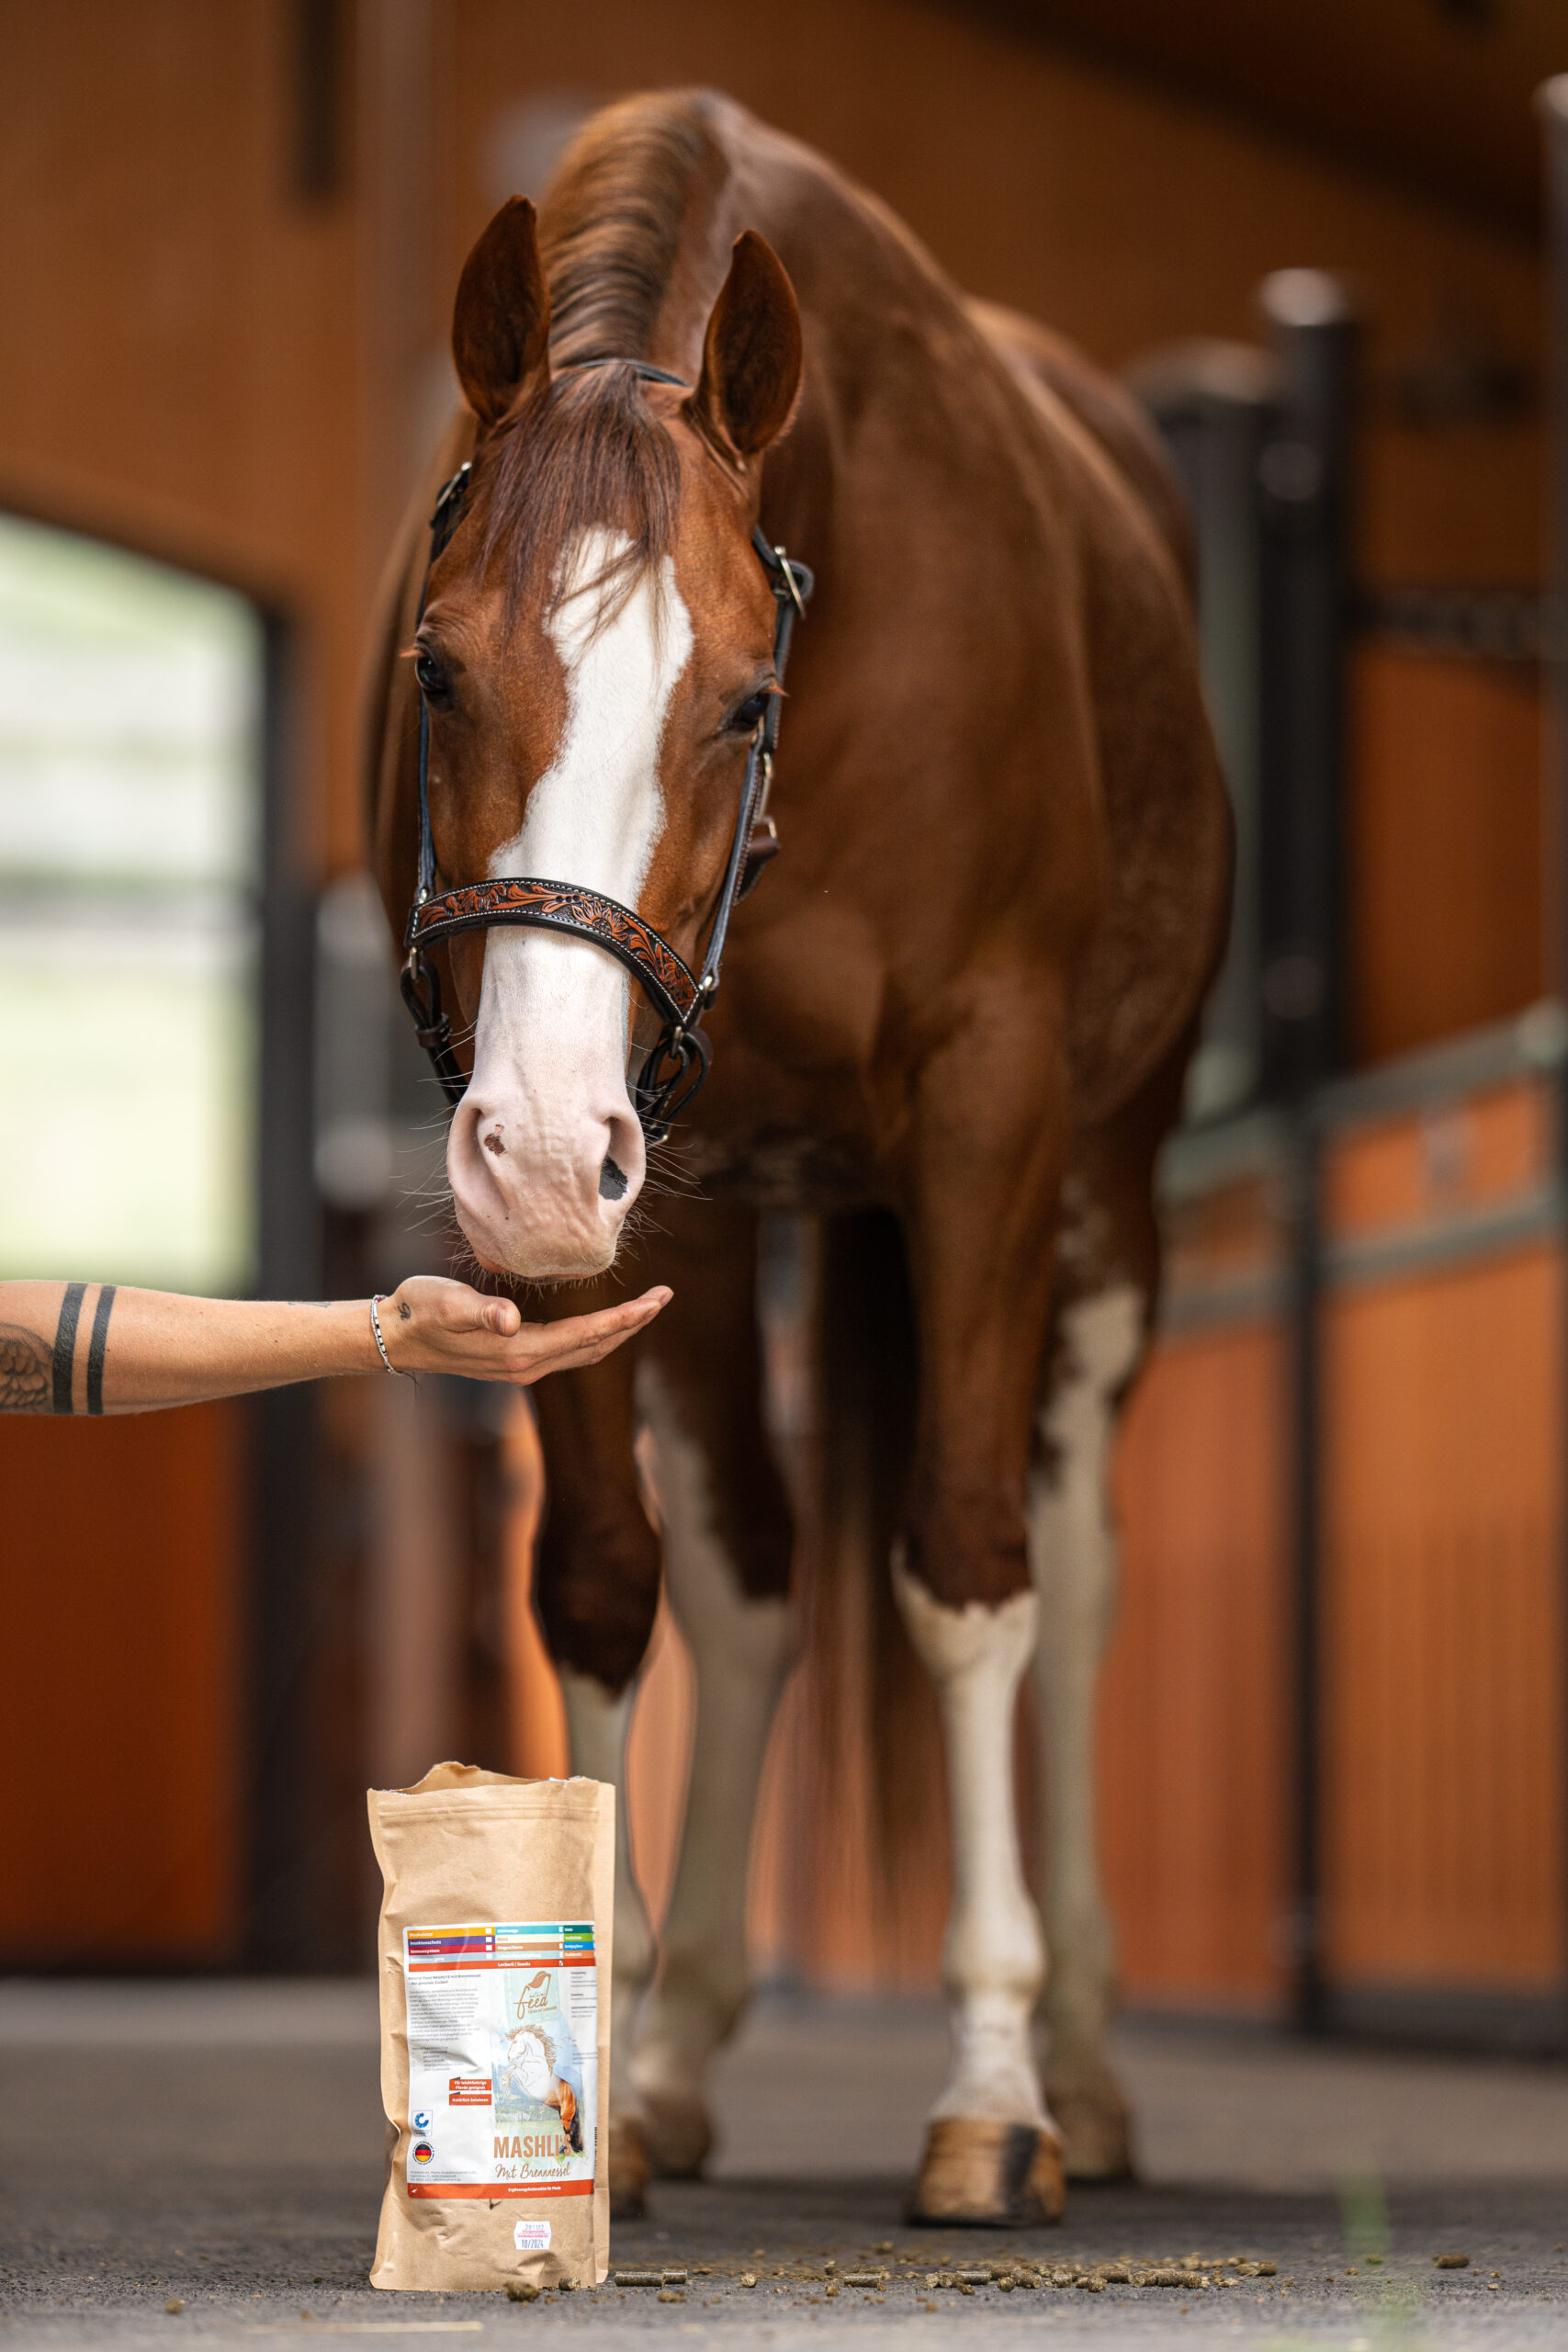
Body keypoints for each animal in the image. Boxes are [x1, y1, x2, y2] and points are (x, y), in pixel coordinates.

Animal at [368, 91, 1222, 2220]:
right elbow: (607, 1585)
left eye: (743, 694)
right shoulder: (571, 1160)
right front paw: (594, 2068)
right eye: (435, 669)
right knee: (750, 1583)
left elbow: (968, 1569)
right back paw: (677, 2051)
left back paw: (1084, 2068)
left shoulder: (989, 1113)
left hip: (1097, 1190)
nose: (533, 1148)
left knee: (1070, 1560)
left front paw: (989, 2092)